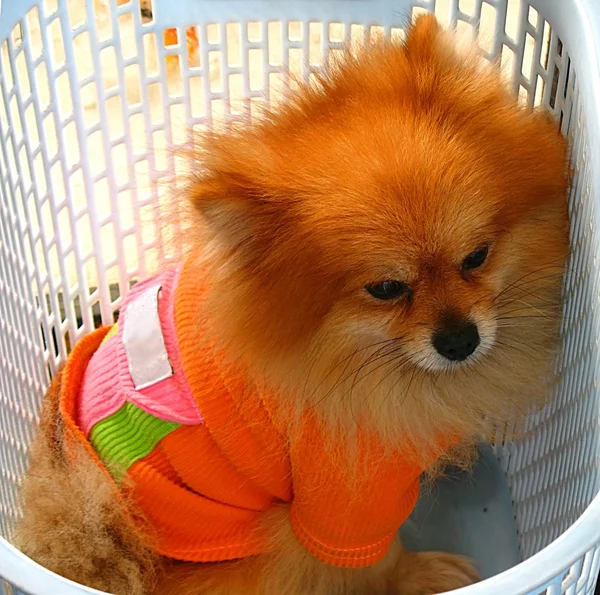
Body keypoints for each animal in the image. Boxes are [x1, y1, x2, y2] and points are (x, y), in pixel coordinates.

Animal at [12, 15, 568, 595]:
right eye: (386, 289)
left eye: (477, 256)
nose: (460, 340)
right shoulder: (341, 495)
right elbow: (376, 557)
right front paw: (423, 572)